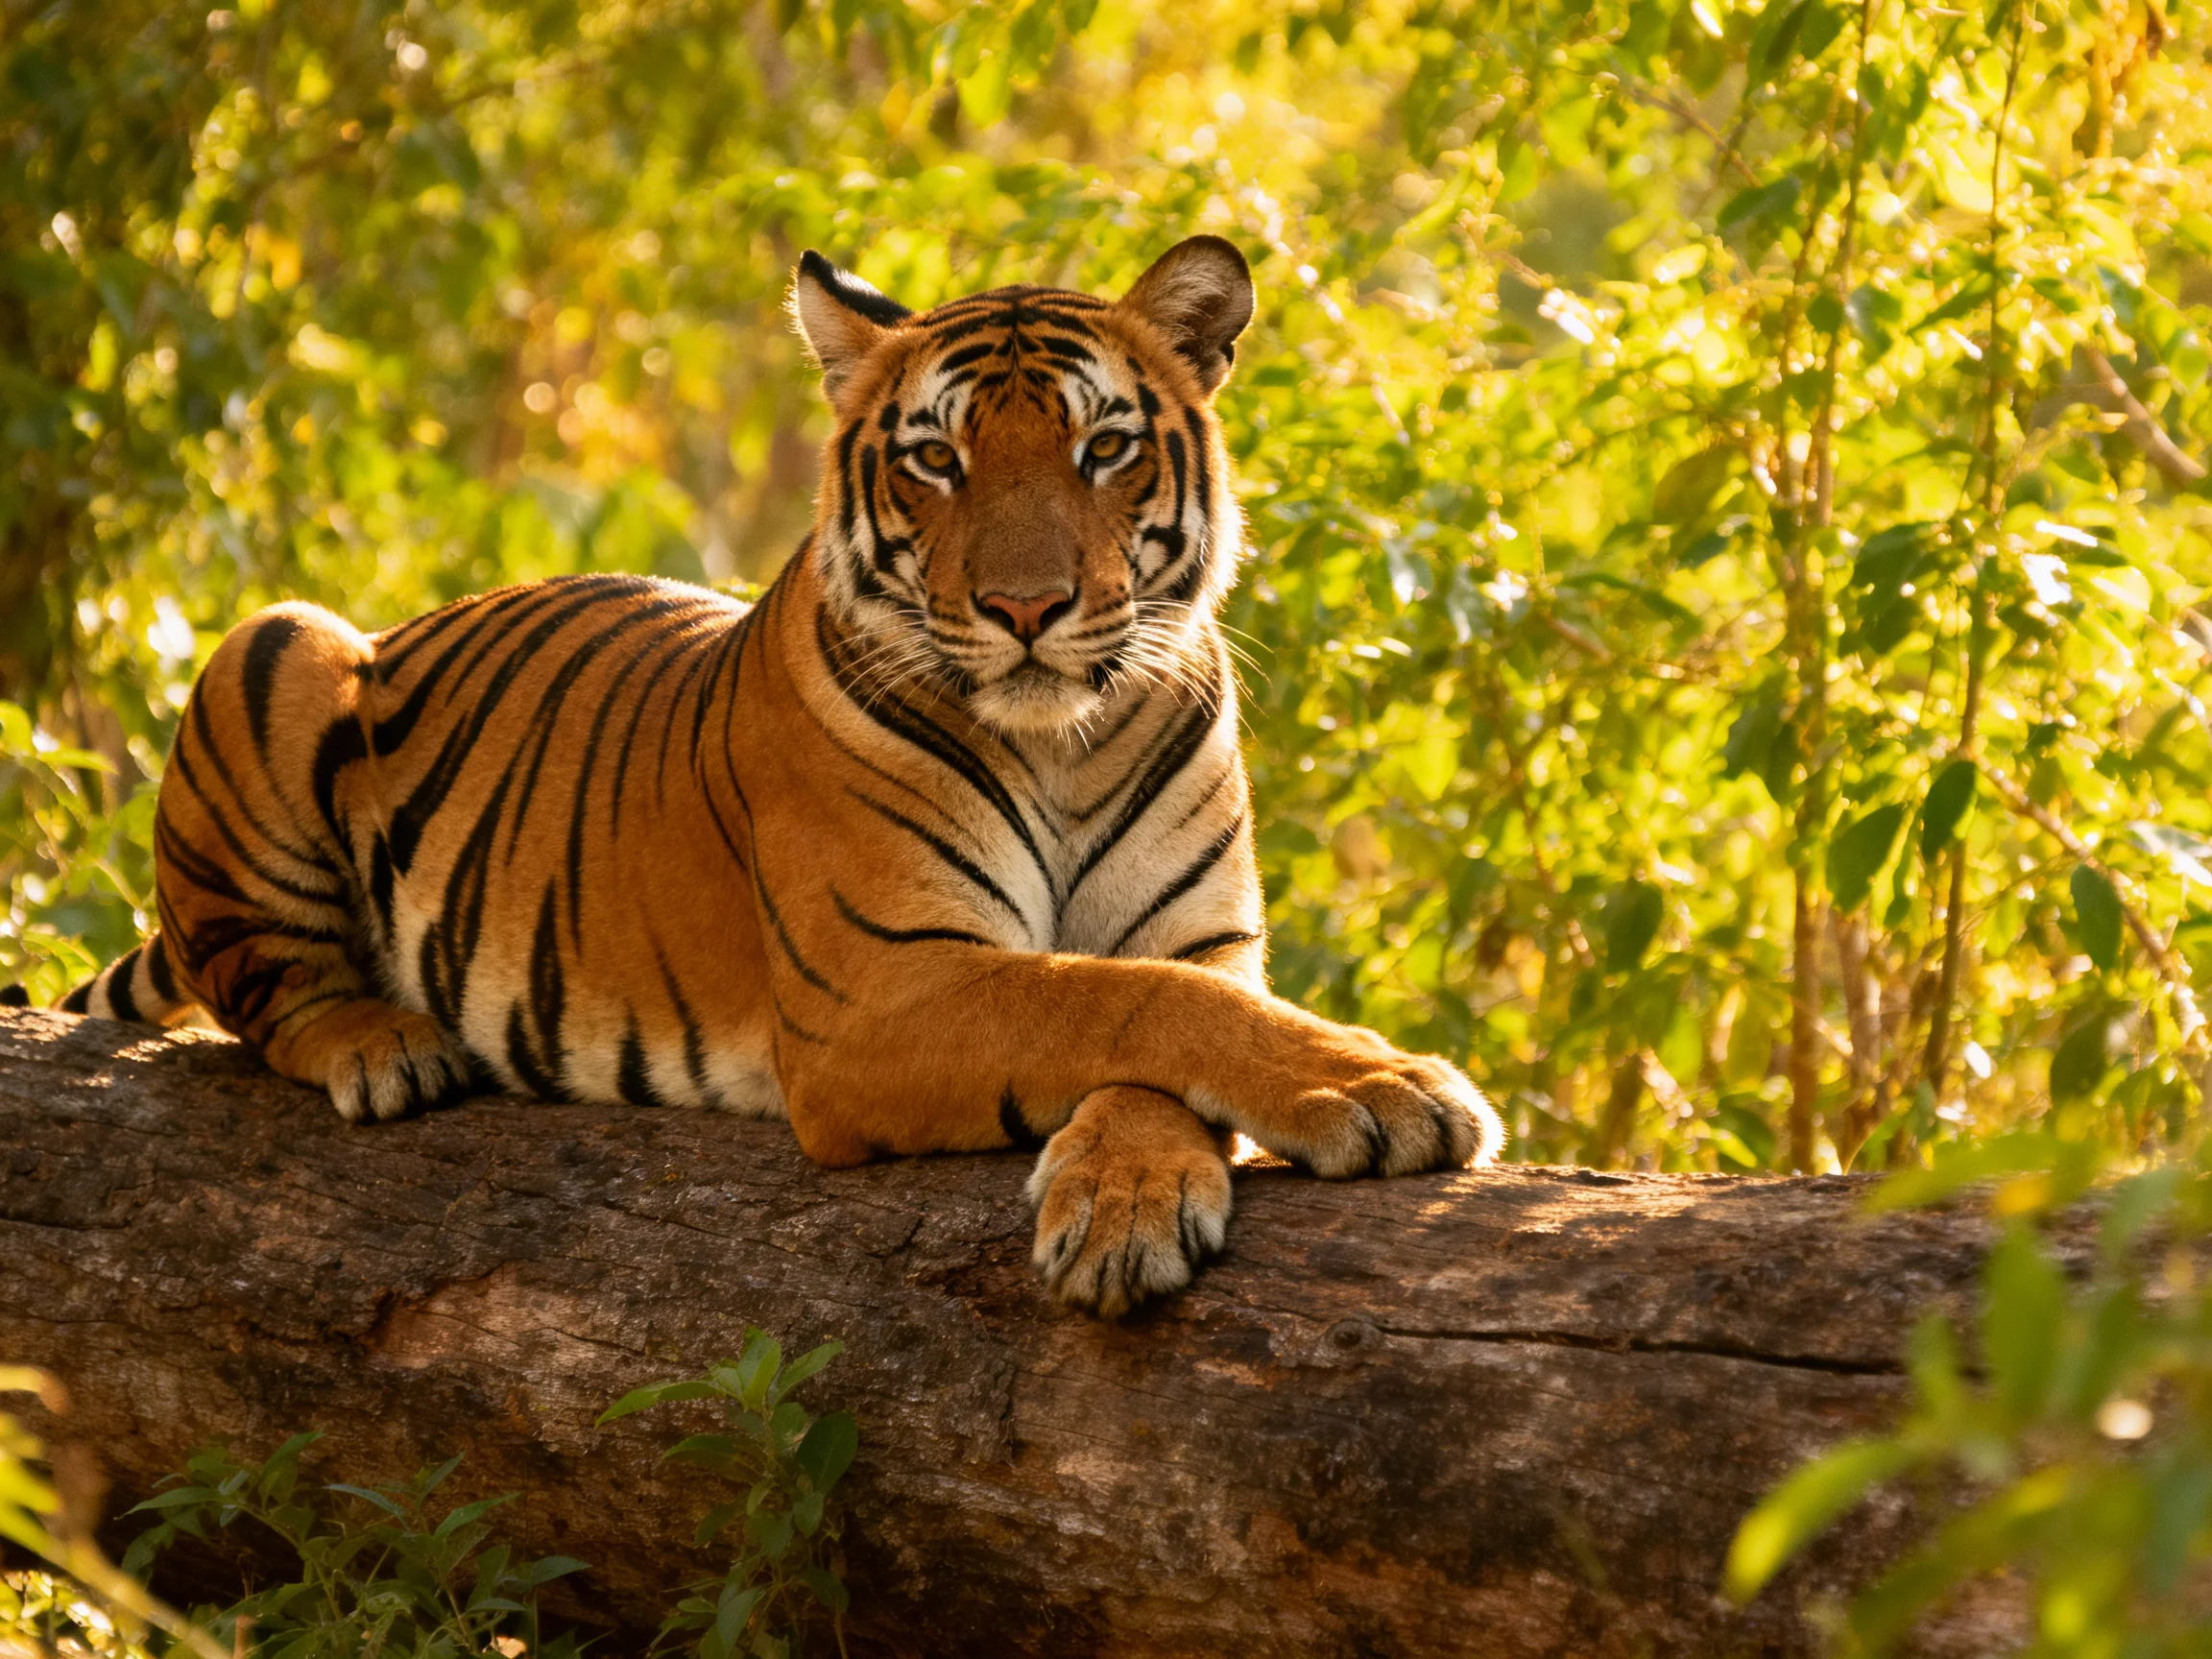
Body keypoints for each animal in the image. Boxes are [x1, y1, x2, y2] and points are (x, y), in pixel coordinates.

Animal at [41, 236, 1501, 1315]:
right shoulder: (878, 989)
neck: (1064, 748)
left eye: (1105, 448)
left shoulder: (1204, 941)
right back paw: (385, 1045)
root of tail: (406, 625)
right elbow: (1117, 1000)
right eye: (936, 459)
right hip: (277, 641)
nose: (1026, 608)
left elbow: (1162, 1018)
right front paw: (1392, 1089)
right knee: (263, 992)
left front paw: (1125, 1205)